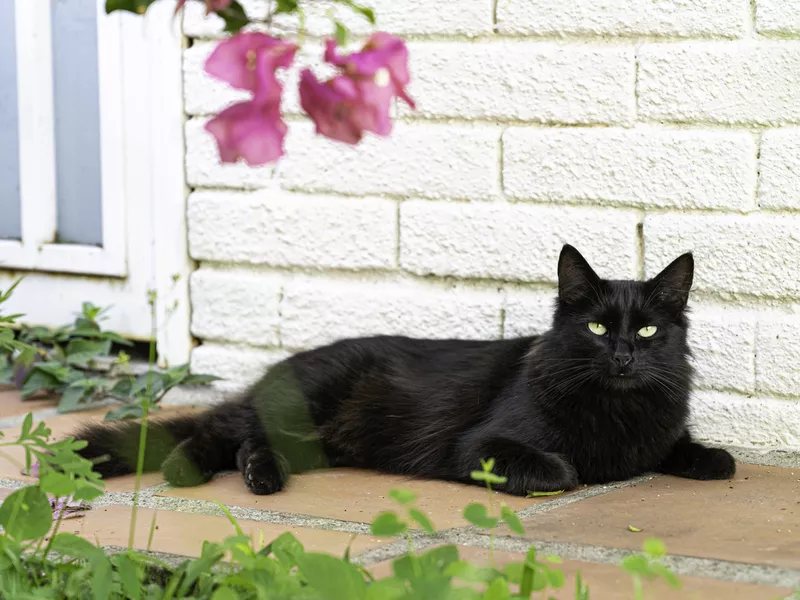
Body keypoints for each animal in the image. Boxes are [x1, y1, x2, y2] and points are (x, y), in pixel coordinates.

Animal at [72, 245, 736, 496]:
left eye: (647, 331)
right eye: (597, 329)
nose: (623, 357)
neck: (615, 407)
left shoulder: (658, 432)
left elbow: (690, 450)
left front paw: (710, 458)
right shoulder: (483, 446)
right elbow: (556, 468)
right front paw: (571, 471)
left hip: (315, 439)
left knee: (240, 442)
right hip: (304, 404)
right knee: (221, 433)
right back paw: (196, 471)